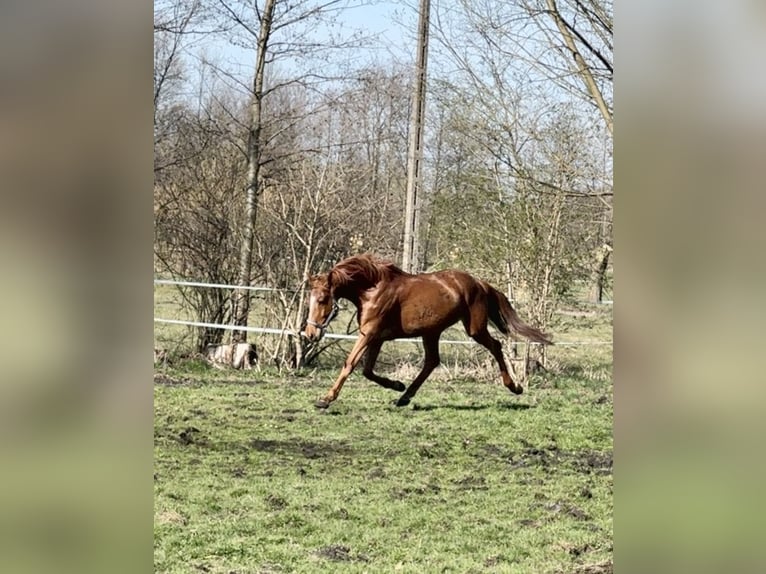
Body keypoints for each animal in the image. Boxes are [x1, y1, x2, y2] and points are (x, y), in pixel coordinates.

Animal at [303, 254, 552, 409]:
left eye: (323, 299)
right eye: (309, 299)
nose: (310, 334)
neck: (372, 290)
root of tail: (480, 283)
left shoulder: (370, 334)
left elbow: (350, 364)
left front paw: (325, 399)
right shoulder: (376, 338)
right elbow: (367, 370)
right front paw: (397, 385)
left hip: (474, 329)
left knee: (496, 346)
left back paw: (515, 387)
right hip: (431, 332)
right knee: (432, 362)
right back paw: (404, 397)